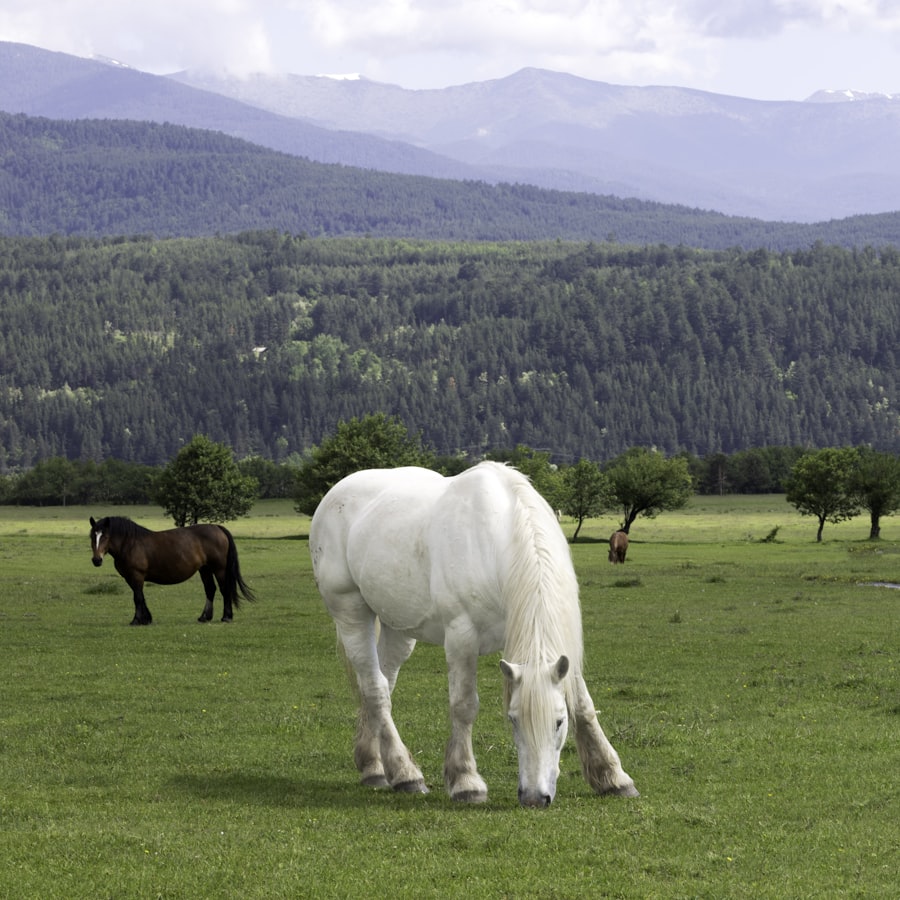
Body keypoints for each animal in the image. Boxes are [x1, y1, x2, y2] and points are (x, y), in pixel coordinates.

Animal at [89, 516, 255, 625]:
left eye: (105, 536)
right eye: (92, 536)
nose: (97, 560)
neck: (130, 543)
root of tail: (217, 528)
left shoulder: (136, 575)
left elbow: (137, 597)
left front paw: (137, 620)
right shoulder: (130, 577)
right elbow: (141, 596)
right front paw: (147, 619)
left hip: (219, 568)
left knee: (224, 589)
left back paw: (226, 617)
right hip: (205, 569)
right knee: (210, 589)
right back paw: (204, 617)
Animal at [309, 461, 638, 807]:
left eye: (559, 721)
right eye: (512, 719)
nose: (535, 798)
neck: (499, 540)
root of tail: (336, 493)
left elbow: (584, 706)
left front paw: (612, 776)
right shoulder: (461, 636)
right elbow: (464, 705)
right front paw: (466, 781)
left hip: (398, 628)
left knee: (382, 683)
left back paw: (373, 765)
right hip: (350, 613)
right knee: (375, 688)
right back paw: (405, 773)